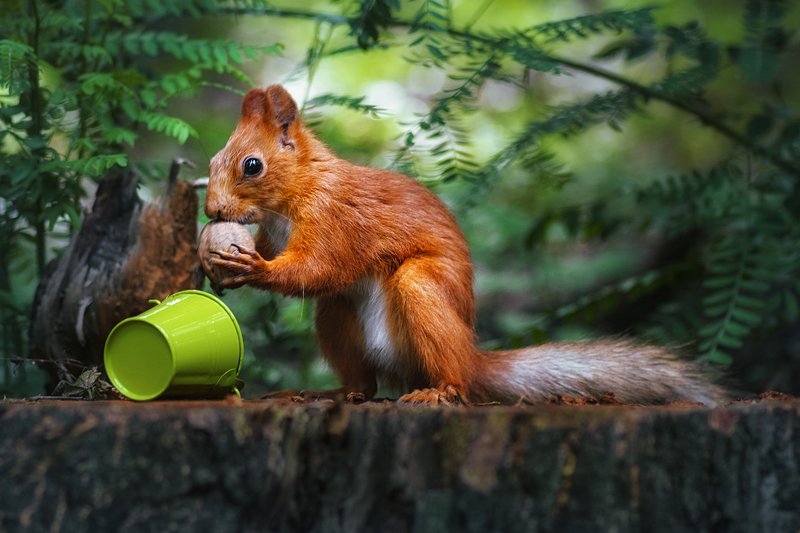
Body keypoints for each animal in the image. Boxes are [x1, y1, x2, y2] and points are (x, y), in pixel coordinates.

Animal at [205, 84, 728, 406]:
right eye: (212, 161)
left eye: (252, 165)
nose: (211, 211)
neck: (294, 195)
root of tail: (472, 358)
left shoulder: (335, 217)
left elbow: (319, 267)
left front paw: (254, 268)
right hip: (337, 315)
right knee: (364, 382)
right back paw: (334, 393)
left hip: (422, 290)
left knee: (447, 372)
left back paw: (441, 392)